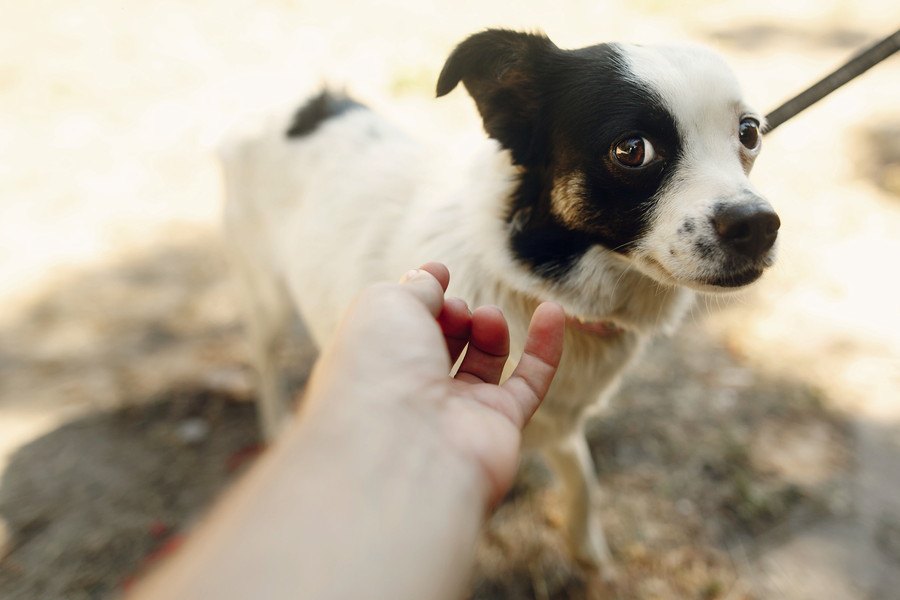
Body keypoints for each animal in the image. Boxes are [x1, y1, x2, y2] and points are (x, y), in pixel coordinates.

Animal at [221, 30, 776, 576]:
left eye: (749, 133)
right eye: (631, 149)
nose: (759, 226)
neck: (539, 286)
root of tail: (297, 105)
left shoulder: (557, 421)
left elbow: (583, 475)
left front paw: (586, 548)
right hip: (264, 295)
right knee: (264, 360)